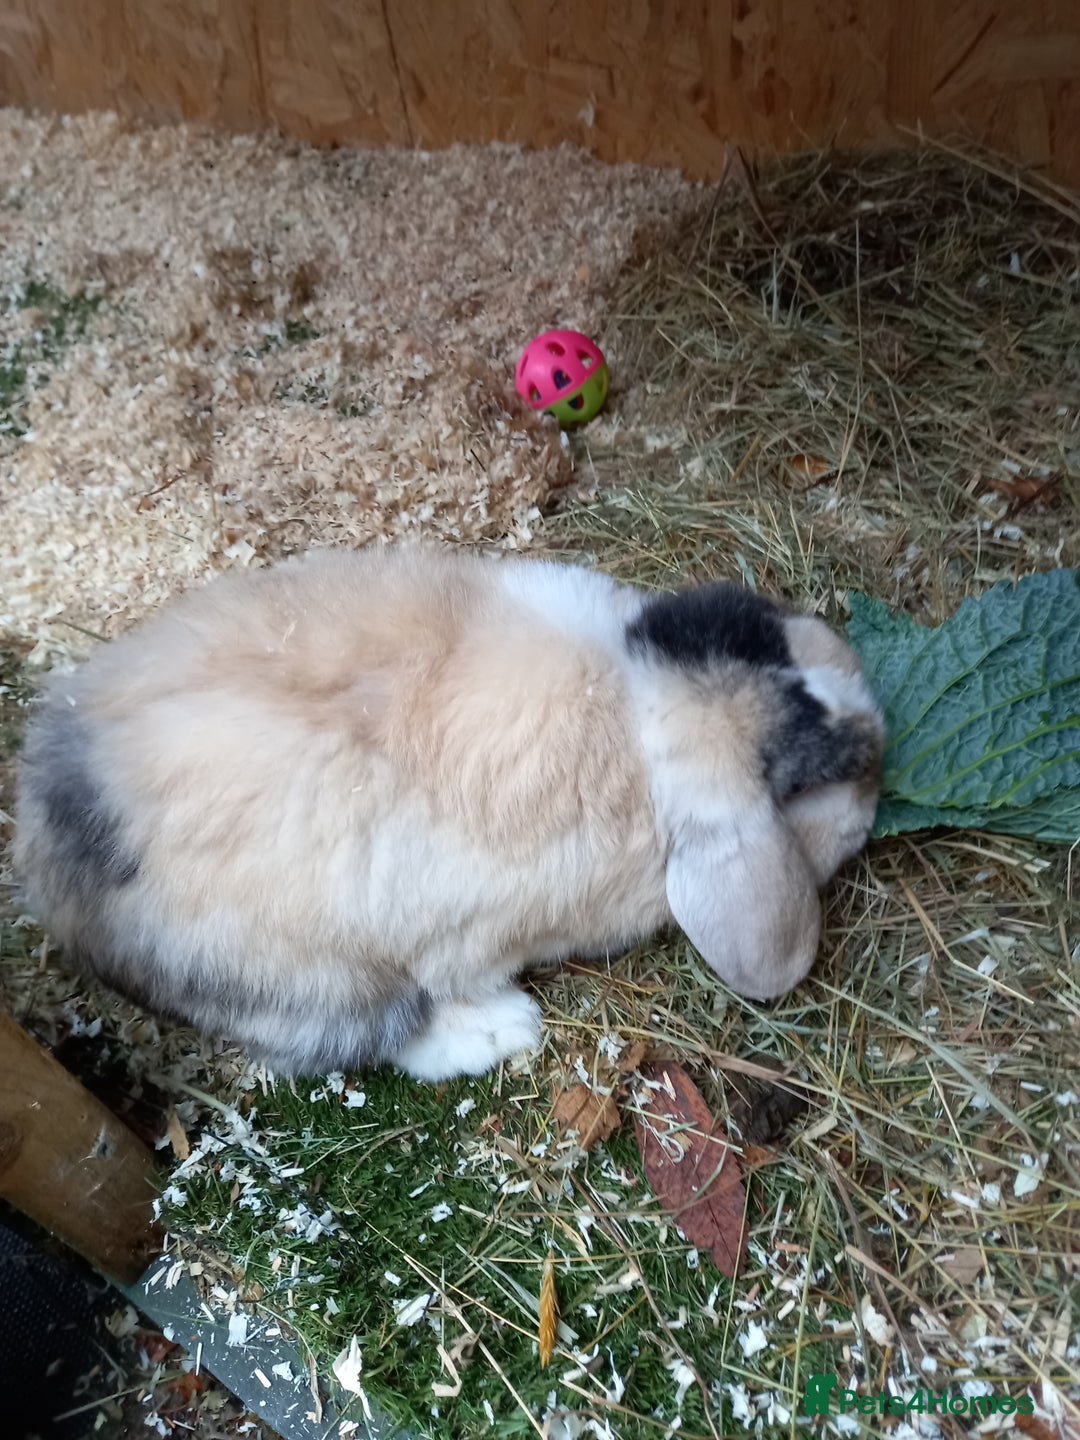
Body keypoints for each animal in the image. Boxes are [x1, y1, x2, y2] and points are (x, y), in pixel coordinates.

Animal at [13, 543, 883, 1082]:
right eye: (815, 780)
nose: (880, 734)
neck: (638, 708)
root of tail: (51, 859)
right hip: (314, 981)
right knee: (367, 1036)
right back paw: (502, 1030)